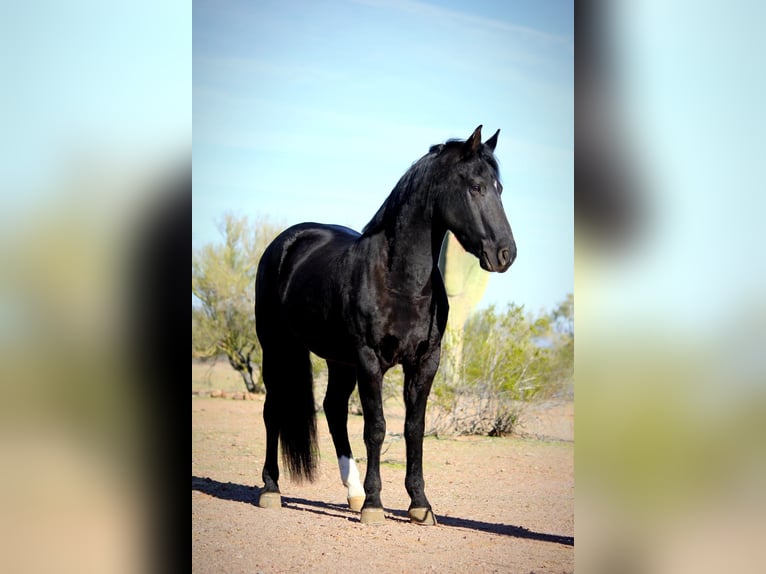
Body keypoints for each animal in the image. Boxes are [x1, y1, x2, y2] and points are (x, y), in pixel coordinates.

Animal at [254, 125, 516, 525]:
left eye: (499, 188)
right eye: (476, 186)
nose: (506, 254)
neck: (401, 281)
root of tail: (286, 242)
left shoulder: (425, 362)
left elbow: (414, 429)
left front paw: (420, 504)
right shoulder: (369, 359)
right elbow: (376, 428)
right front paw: (375, 505)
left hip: (338, 360)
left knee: (333, 410)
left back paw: (353, 492)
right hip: (276, 346)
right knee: (274, 409)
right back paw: (271, 489)